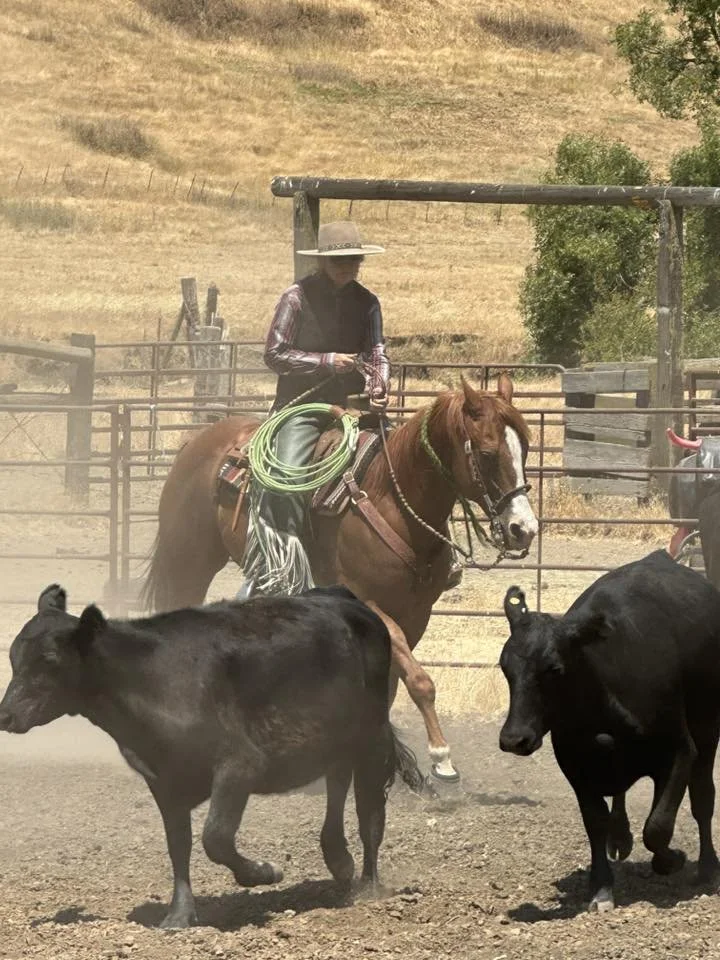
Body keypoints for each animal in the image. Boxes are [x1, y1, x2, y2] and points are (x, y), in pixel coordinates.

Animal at [0, 583, 423, 929]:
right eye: (14, 657)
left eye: (50, 660)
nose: (5, 714)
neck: (148, 681)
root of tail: (346, 598)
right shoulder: (163, 782)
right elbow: (179, 846)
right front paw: (179, 915)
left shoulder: (239, 766)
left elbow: (214, 838)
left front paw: (263, 872)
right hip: (335, 739)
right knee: (337, 784)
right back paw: (339, 861)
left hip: (371, 738)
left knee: (369, 813)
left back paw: (368, 888)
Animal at [498, 550, 720, 912]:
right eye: (505, 667)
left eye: (554, 668)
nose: (514, 738)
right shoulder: (574, 765)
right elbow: (596, 820)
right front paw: (601, 887)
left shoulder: (680, 750)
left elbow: (658, 825)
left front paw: (672, 859)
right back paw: (620, 836)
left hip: (707, 728)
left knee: (702, 797)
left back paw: (708, 866)